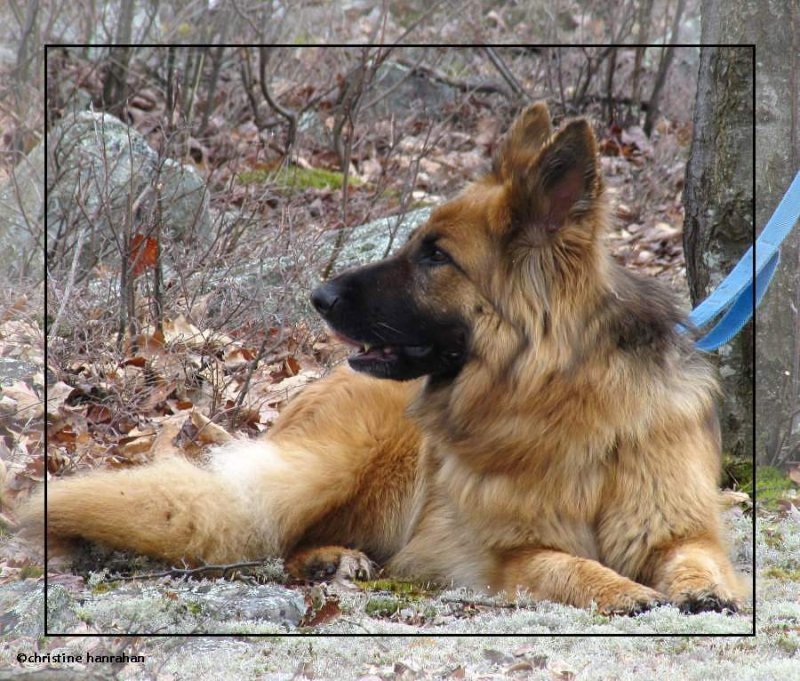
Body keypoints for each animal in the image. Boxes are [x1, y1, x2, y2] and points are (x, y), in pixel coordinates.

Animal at [31, 102, 744, 616]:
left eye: (435, 256)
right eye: (417, 244)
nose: (317, 296)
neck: (564, 398)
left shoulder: (681, 528)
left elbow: (699, 557)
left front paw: (703, 591)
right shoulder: (510, 556)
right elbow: (571, 566)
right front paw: (623, 591)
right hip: (341, 468)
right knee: (266, 531)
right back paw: (327, 559)